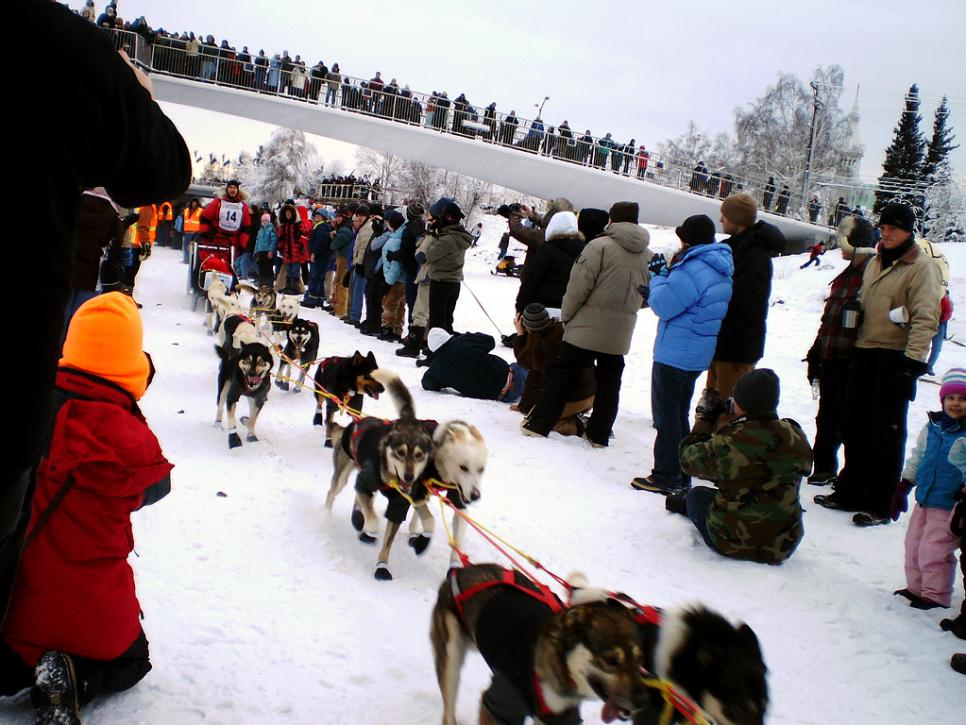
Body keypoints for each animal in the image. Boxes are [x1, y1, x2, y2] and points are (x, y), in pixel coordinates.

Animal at [328, 368, 434, 576]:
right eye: (400, 452)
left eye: (419, 455)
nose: (409, 476)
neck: (392, 479)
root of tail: (354, 423)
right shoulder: (364, 484)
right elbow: (371, 515)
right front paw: (371, 526)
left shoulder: (400, 505)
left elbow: (389, 541)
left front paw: (382, 566)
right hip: (343, 477)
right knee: (333, 492)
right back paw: (327, 515)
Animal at [430, 564, 652, 724]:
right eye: (610, 660)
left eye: (639, 659)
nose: (642, 701)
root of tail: (460, 570)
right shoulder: (498, 705)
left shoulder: (557, 718)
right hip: (451, 663)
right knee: (448, 711)